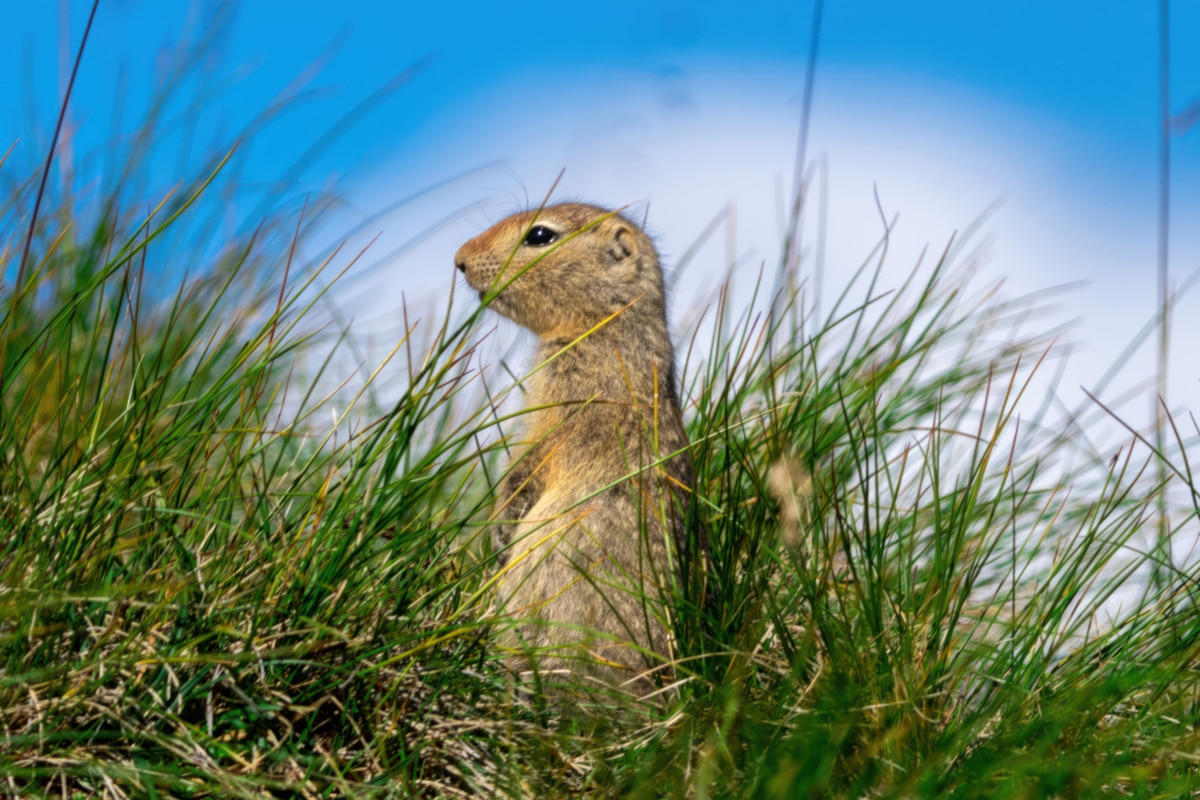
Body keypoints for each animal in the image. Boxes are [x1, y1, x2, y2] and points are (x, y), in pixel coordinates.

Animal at [451, 203, 696, 695]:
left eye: (540, 236)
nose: (459, 259)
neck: (608, 322)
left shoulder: (565, 400)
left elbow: (527, 466)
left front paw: (499, 531)